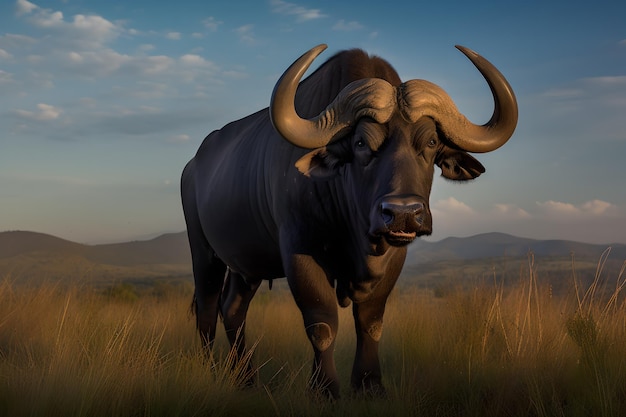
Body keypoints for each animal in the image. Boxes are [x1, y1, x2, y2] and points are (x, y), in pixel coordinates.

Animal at [180, 43, 516, 396]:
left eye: (431, 142)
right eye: (360, 143)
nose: (403, 214)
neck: (357, 234)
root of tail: (193, 166)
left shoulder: (394, 258)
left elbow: (370, 321)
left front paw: (369, 385)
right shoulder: (300, 251)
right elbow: (322, 323)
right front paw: (325, 389)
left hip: (246, 265)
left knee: (233, 308)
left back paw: (245, 378)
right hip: (203, 253)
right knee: (207, 310)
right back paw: (212, 369)